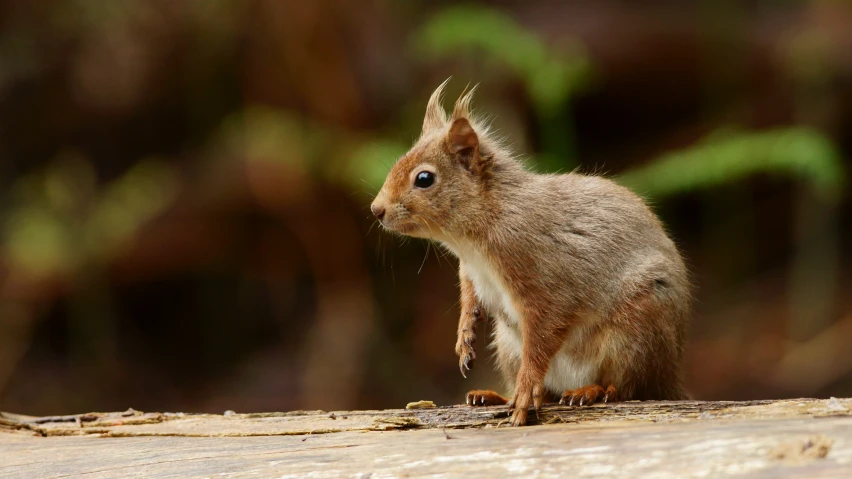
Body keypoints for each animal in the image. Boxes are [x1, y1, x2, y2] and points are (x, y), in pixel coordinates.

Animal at [370, 79, 688, 428]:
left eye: (424, 178)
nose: (376, 210)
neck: (472, 240)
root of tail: (670, 373)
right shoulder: (471, 271)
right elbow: (469, 297)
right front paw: (465, 336)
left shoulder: (543, 281)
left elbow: (542, 339)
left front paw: (524, 394)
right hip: (507, 345)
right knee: (549, 392)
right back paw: (493, 396)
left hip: (635, 332)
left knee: (627, 387)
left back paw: (590, 391)